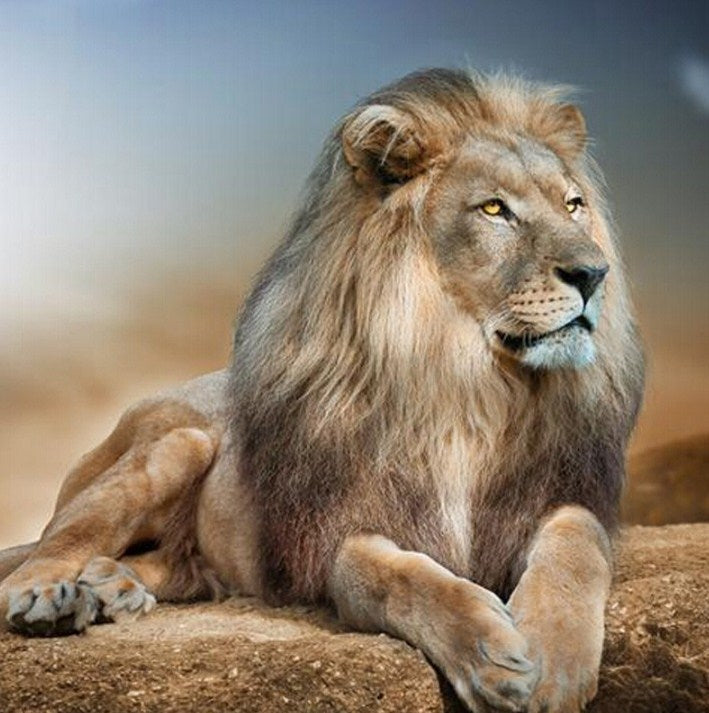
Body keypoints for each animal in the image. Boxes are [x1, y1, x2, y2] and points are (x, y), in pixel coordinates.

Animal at [0, 69, 644, 713]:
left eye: (574, 205)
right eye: (494, 209)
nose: (594, 274)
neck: (465, 384)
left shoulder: (552, 493)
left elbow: (577, 541)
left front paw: (554, 660)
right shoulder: (337, 529)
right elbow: (389, 577)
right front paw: (489, 652)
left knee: (177, 564)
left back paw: (113, 586)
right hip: (175, 444)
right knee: (50, 546)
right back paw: (51, 597)